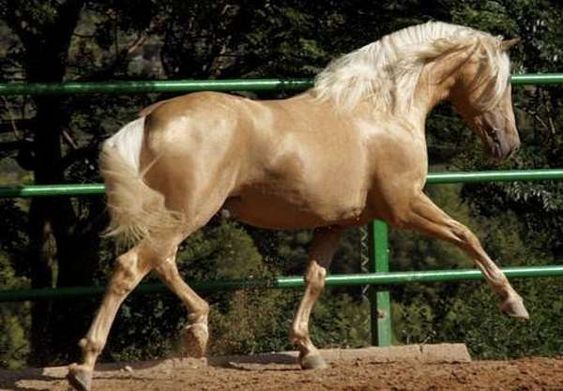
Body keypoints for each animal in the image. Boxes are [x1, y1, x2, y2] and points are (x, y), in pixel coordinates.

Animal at [68, 22, 528, 391]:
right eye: (502, 81)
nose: (508, 144)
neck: (381, 111)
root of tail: (151, 116)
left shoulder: (335, 223)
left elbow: (315, 279)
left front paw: (309, 352)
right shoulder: (405, 206)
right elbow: (466, 235)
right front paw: (514, 304)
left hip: (179, 214)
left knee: (162, 261)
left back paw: (197, 328)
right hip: (190, 212)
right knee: (132, 266)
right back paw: (83, 368)